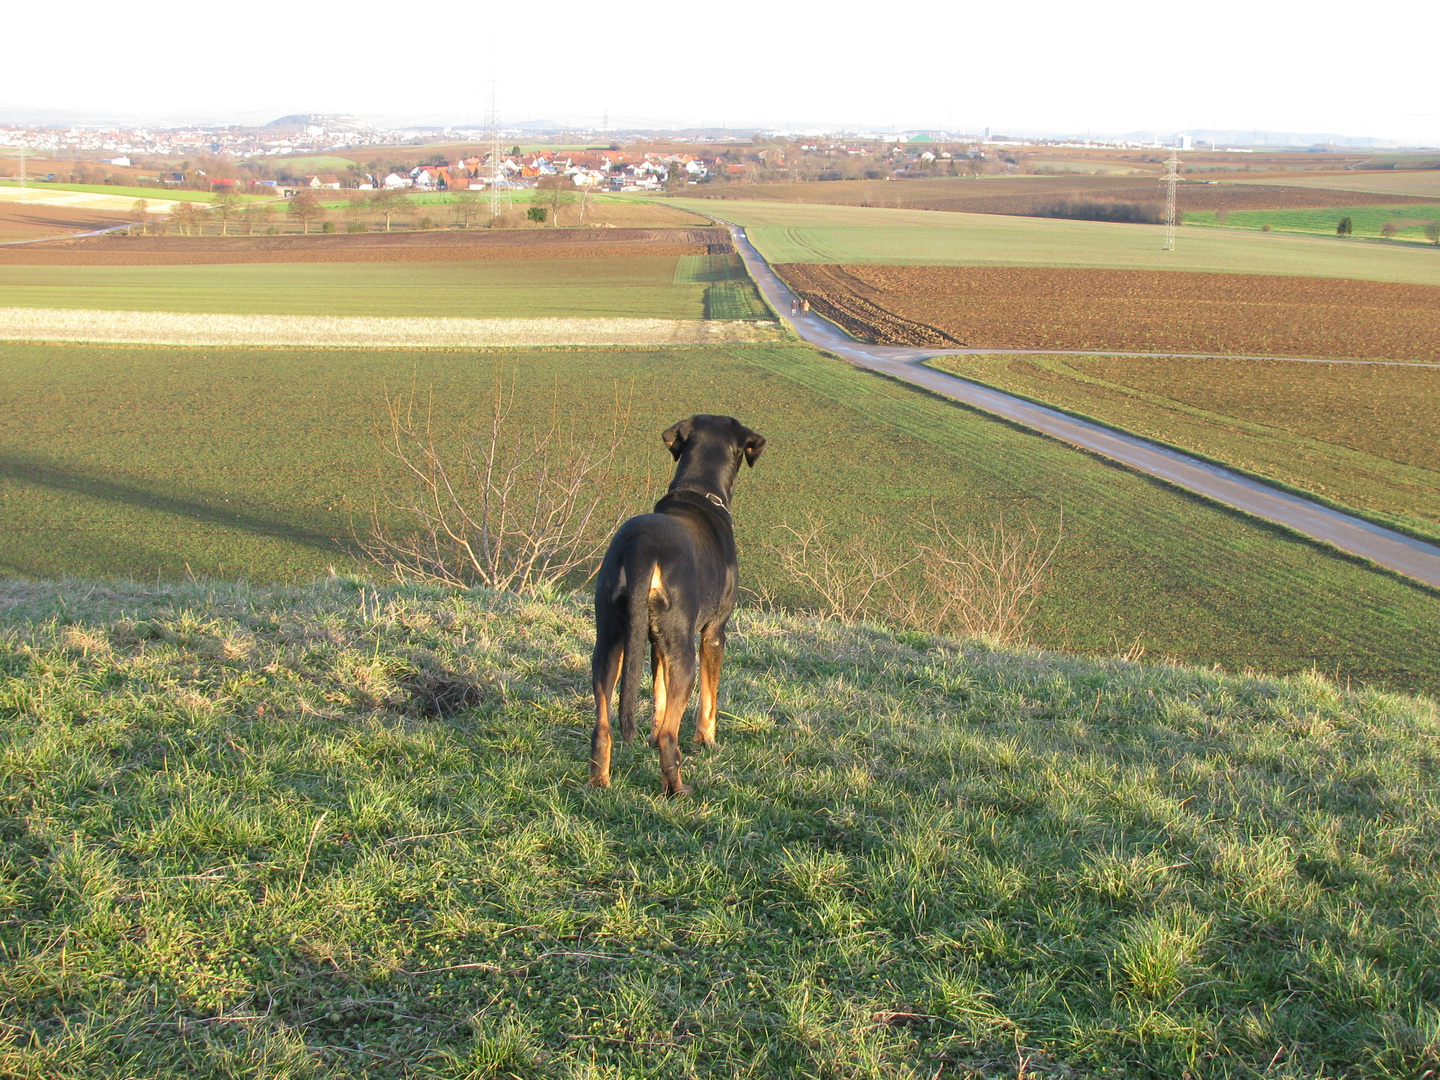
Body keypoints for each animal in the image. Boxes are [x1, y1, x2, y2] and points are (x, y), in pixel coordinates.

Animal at [587, 414, 766, 794]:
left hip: (610, 640)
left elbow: (659, 692)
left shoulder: (656, 640)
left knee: (602, 726)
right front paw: (708, 741)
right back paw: (678, 789)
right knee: (672, 734)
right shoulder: (714, 632)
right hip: (684, 653)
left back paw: (600, 782)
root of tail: (641, 546)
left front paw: (650, 735)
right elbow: (710, 699)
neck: (700, 493)